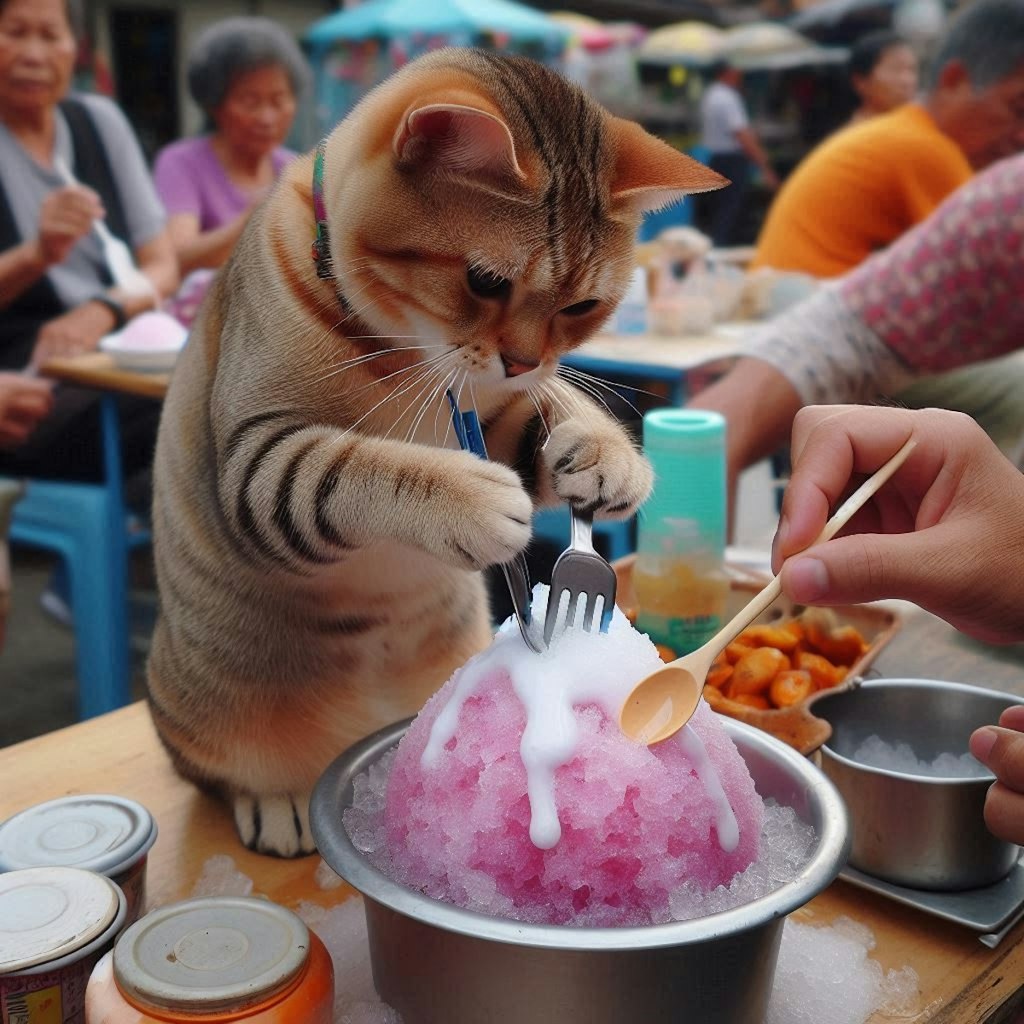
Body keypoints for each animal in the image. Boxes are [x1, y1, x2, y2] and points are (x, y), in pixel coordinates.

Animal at [148, 48, 724, 851]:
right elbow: (352, 467)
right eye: (484, 280)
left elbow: (551, 417)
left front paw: (603, 454)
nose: (524, 360)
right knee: (224, 773)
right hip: (199, 708)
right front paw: (465, 496)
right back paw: (280, 797)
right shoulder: (258, 461)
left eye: (582, 307)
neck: (404, 352)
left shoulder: (501, 412)